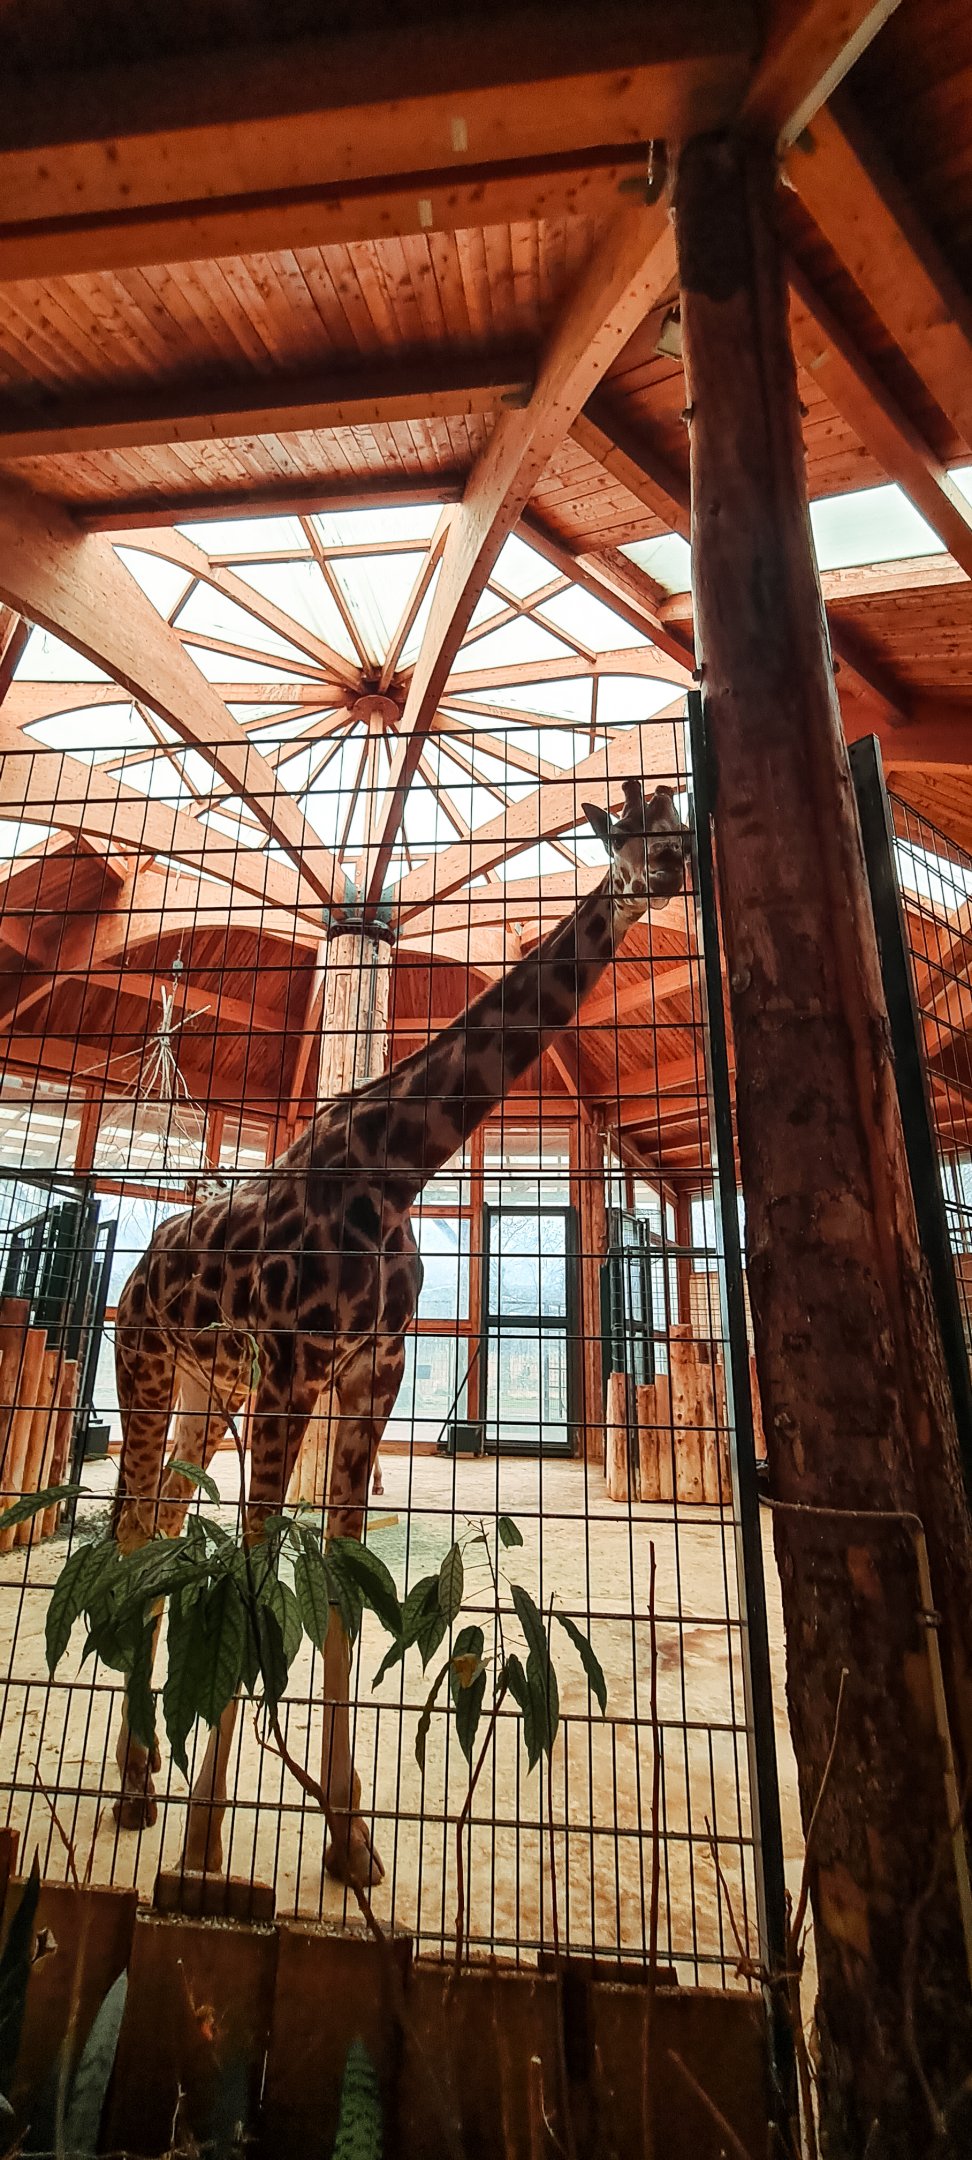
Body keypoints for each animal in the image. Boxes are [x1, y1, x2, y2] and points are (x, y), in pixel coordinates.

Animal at [110, 779, 689, 1885]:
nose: (666, 871)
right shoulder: (294, 1369)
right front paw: (204, 1854)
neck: (396, 1170)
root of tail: (142, 1261)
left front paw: (349, 1840)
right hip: (145, 1371)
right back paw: (134, 1790)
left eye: (678, 827)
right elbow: (255, 1574)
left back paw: (142, 1772)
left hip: (207, 1393)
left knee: (159, 1529)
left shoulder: (370, 1373)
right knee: (126, 1529)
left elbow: (338, 1592)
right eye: (621, 834)